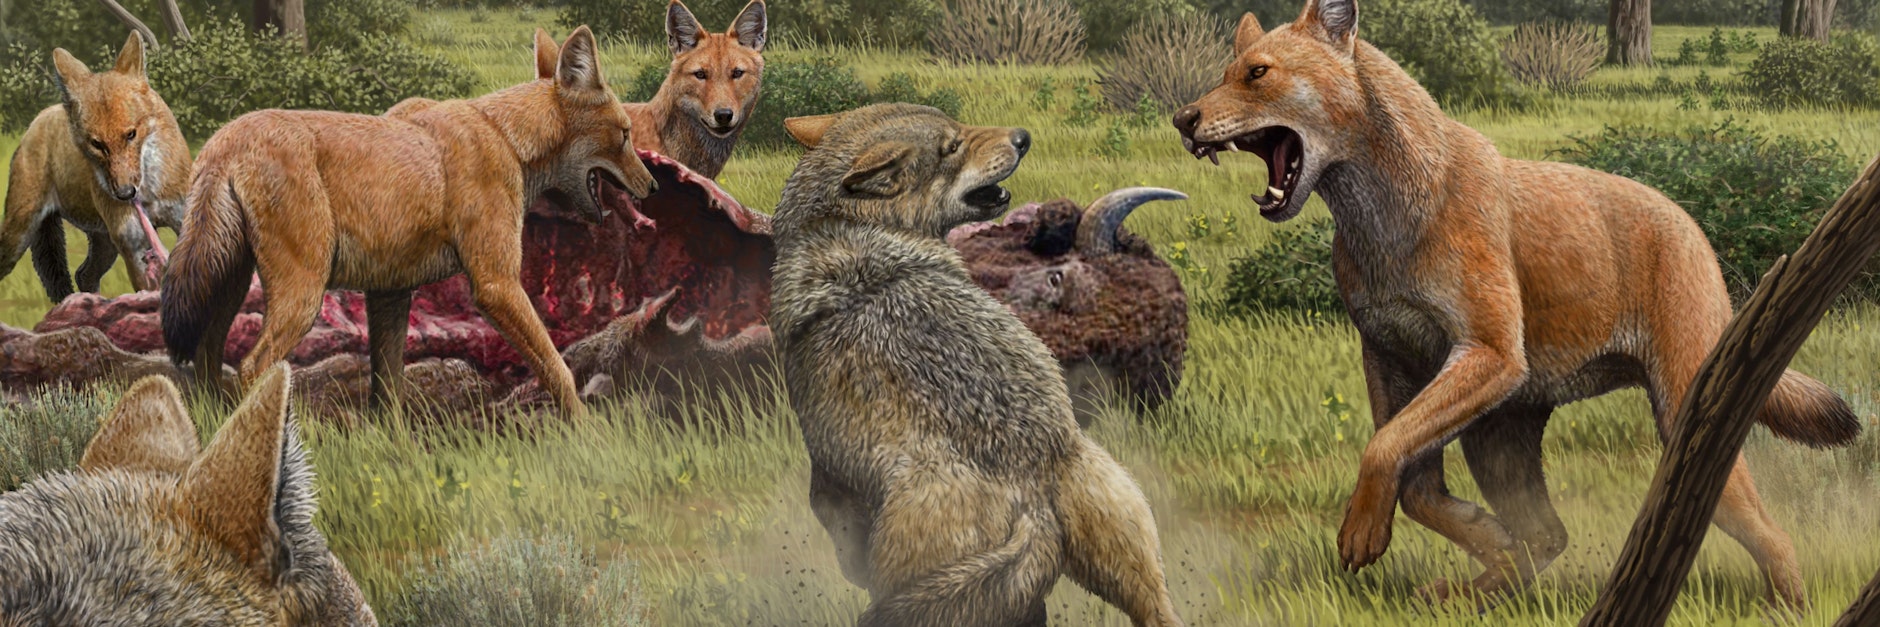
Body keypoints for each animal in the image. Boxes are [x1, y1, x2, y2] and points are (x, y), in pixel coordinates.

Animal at [0, 32, 190, 300]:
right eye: (97, 144)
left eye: (131, 134)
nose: (125, 193)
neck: (150, 195)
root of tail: (40, 117)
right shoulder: (132, 244)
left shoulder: (182, 219)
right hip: (18, 234)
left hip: (104, 245)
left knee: (83, 274)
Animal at [162, 26, 655, 415]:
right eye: (625, 134)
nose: (652, 185)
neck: (505, 137)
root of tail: (226, 138)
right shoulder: (496, 284)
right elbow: (558, 370)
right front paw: (588, 435)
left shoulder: (390, 294)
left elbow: (388, 394)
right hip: (301, 296)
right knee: (252, 367)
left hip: (230, 287)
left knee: (206, 361)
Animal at [769, 103, 1184, 627]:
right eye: (951, 147)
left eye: (957, 127)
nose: (1024, 137)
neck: (840, 227)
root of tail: (1031, 489)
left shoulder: (829, 474)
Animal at [1173, 0, 1859, 609]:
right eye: (1226, 72)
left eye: (1257, 73)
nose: (1183, 119)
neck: (1384, 219)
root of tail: (1694, 227)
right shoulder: (1391, 358)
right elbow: (1413, 477)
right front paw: (1480, 538)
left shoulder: (1489, 354)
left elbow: (1385, 451)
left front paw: (1362, 532)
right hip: (1500, 435)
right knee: (1550, 533)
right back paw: (1471, 591)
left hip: (1686, 415)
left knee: (1771, 534)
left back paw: (1787, 608)